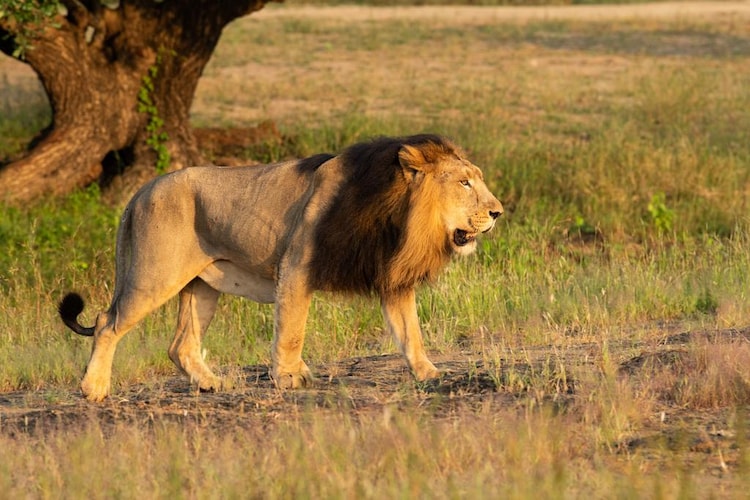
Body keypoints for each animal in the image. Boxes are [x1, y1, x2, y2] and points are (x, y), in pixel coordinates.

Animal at [59, 134, 504, 401]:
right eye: (464, 183)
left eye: (477, 179)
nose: (498, 211)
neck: (401, 215)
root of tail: (141, 190)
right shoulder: (296, 265)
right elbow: (292, 329)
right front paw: (290, 377)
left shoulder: (391, 277)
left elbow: (411, 332)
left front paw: (429, 374)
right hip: (156, 275)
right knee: (107, 323)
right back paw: (93, 389)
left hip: (202, 286)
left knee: (180, 343)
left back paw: (211, 384)